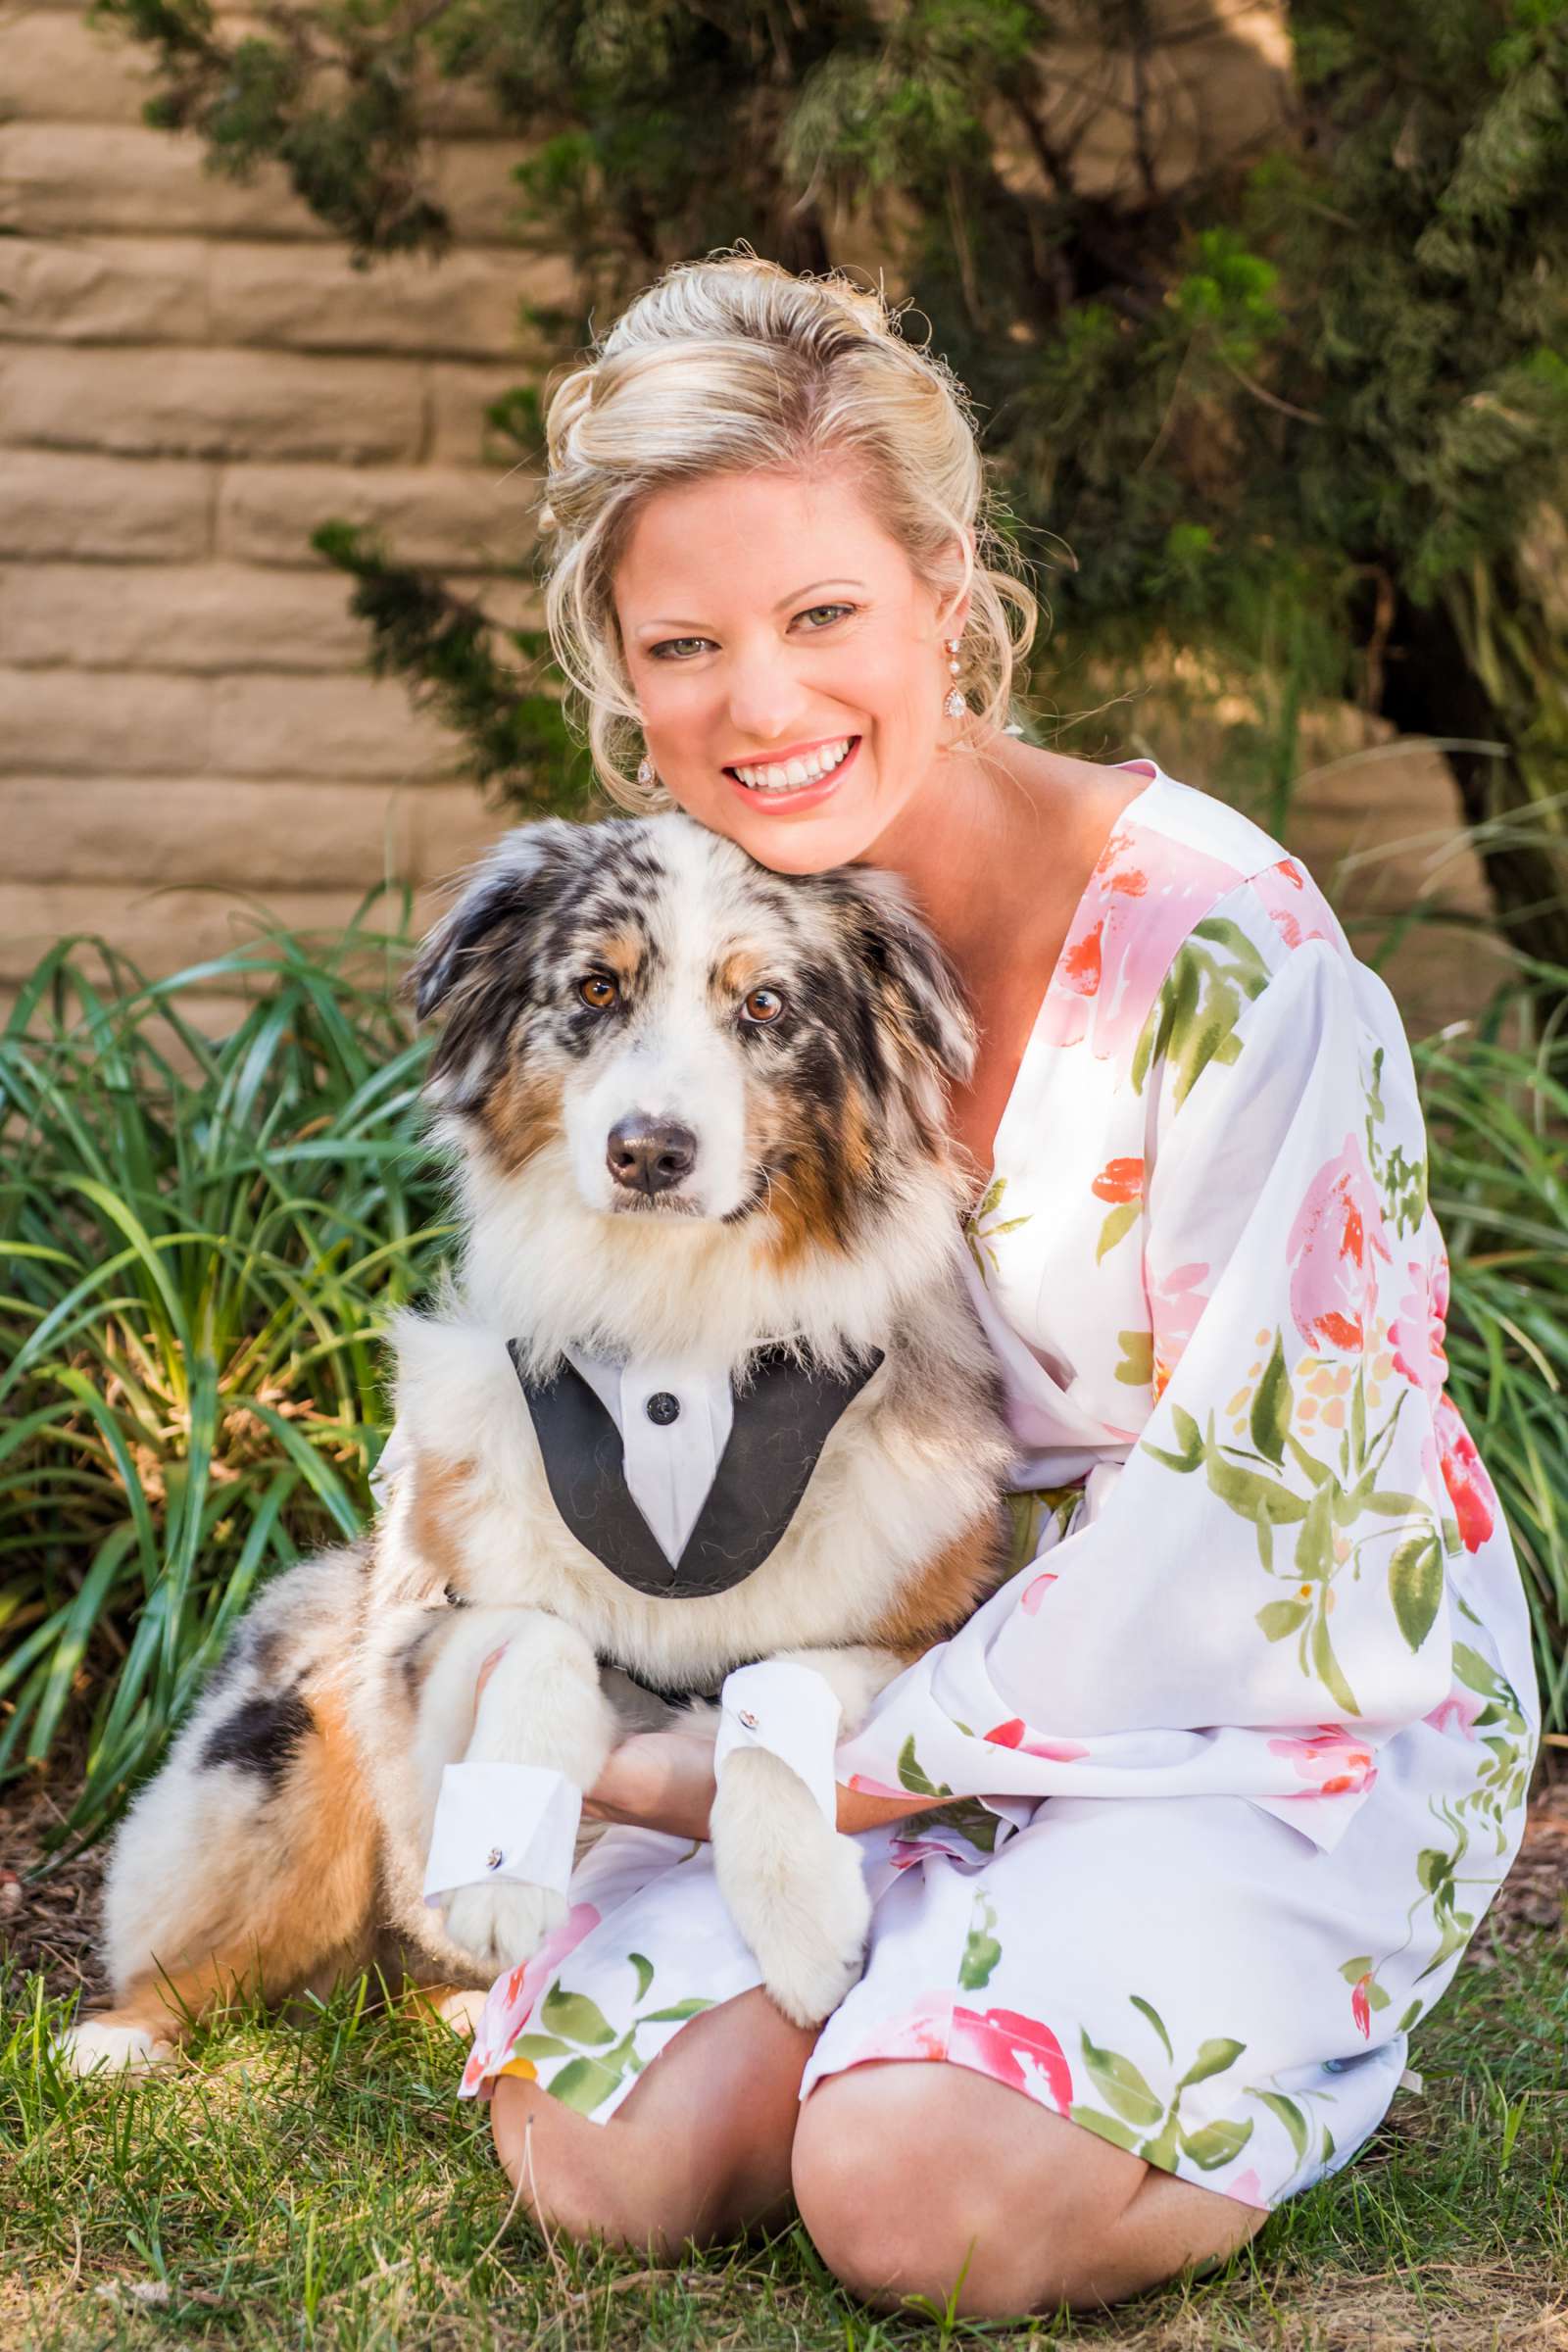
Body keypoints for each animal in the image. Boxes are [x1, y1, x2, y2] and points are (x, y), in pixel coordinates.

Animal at [64, 813, 1020, 2079]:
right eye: (597, 987)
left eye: (765, 1005)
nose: (649, 1152)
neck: (673, 1317)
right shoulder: (427, 1610)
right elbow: (535, 1638)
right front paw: (504, 1866)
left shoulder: (916, 1630)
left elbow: (771, 1684)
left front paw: (801, 1916)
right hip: (298, 1728)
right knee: (229, 1952)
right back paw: (121, 2038)